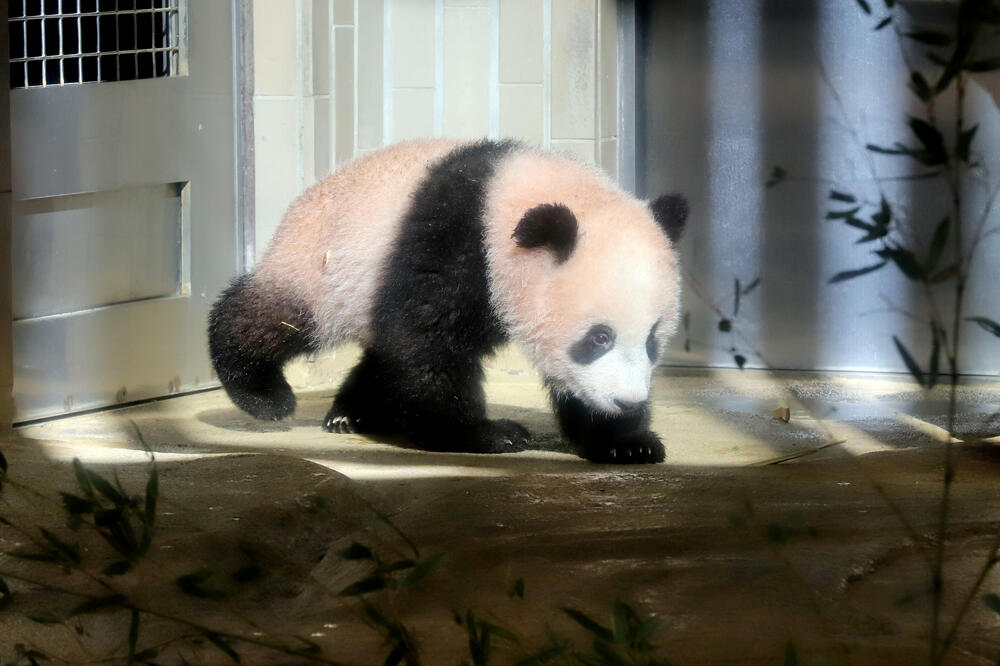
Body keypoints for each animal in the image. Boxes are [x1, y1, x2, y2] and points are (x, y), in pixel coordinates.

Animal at [208, 138, 688, 464]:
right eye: (598, 338)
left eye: (652, 341)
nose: (627, 401)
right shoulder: (452, 240)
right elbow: (427, 344)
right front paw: (487, 435)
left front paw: (625, 442)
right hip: (320, 267)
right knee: (273, 318)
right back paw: (263, 394)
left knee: (381, 350)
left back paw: (352, 412)